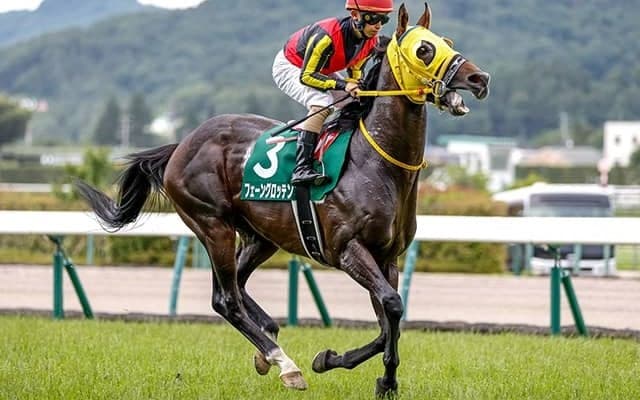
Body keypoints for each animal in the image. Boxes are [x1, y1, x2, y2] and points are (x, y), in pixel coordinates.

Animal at [76, 4, 489, 398]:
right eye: (424, 49)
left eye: (447, 41)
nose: (480, 79)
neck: (377, 163)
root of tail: (181, 144)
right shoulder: (348, 250)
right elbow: (392, 306)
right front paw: (338, 364)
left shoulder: (387, 257)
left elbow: (390, 320)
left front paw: (370, 376)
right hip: (212, 225)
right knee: (225, 299)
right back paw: (284, 364)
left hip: (261, 236)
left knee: (236, 287)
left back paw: (268, 339)